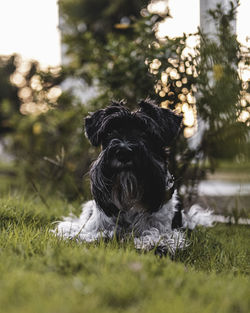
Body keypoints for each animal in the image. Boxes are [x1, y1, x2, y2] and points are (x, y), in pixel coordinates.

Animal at [55, 98, 213, 255]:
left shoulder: (165, 229)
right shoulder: (95, 225)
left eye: (145, 132)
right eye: (110, 131)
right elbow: (87, 233)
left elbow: (160, 236)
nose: (123, 152)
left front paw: (154, 244)